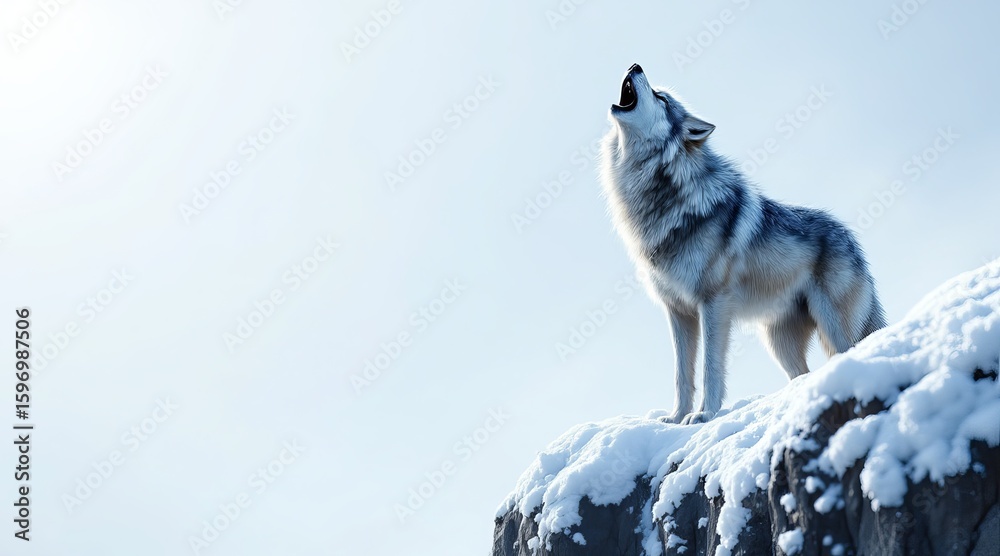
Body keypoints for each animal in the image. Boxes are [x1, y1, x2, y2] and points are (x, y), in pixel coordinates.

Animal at [599, 64, 886, 425]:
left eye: (661, 98)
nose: (635, 66)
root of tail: (851, 239)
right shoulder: (678, 312)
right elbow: (681, 374)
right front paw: (677, 419)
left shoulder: (713, 304)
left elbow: (710, 366)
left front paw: (705, 416)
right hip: (779, 344)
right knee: (802, 374)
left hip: (832, 327)